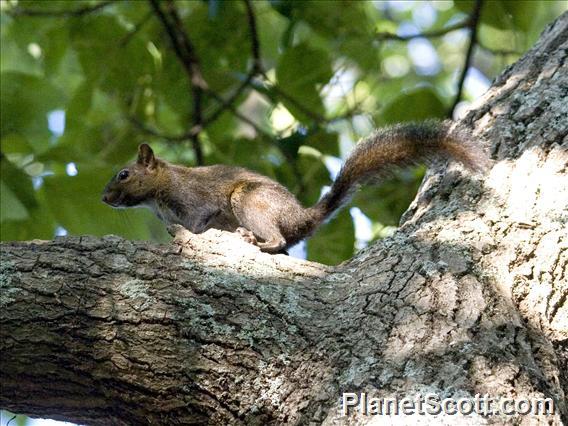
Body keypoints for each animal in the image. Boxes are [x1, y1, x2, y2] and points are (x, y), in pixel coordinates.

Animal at [101, 120, 484, 253]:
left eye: (124, 174)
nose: (104, 198)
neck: (159, 194)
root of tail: (303, 217)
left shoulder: (194, 200)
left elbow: (197, 223)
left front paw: (187, 234)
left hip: (249, 200)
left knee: (278, 239)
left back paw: (256, 239)